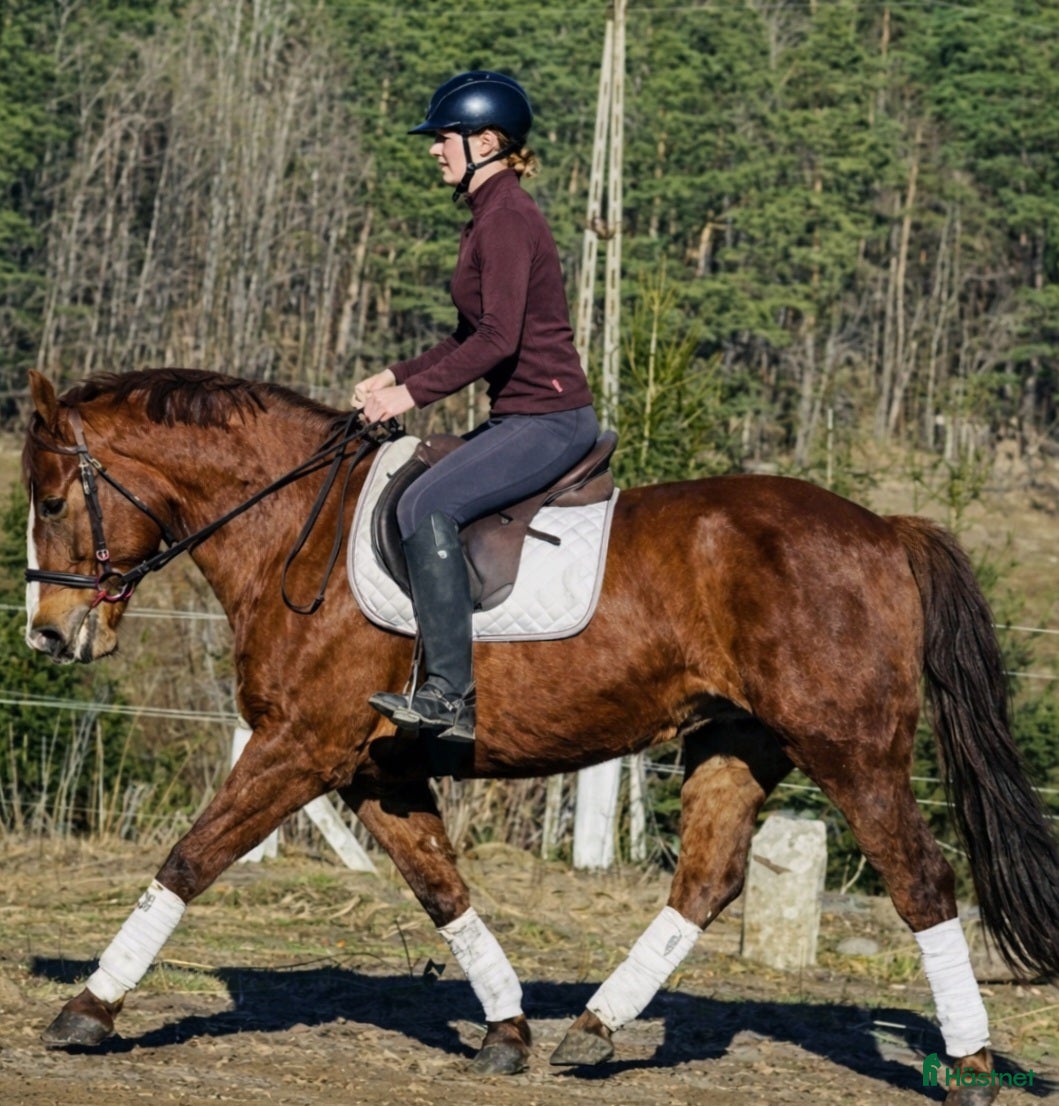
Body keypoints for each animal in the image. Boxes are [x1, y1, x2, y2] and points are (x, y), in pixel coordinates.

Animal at [21, 368, 1059, 1104]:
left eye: (51, 500)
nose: (49, 637)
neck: (293, 528)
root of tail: (883, 529)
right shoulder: (370, 768)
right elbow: (441, 890)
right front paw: (506, 1031)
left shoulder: (299, 747)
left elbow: (189, 860)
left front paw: (87, 1009)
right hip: (737, 740)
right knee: (707, 879)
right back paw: (592, 1030)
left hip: (852, 750)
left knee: (920, 881)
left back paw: (970, 1069)